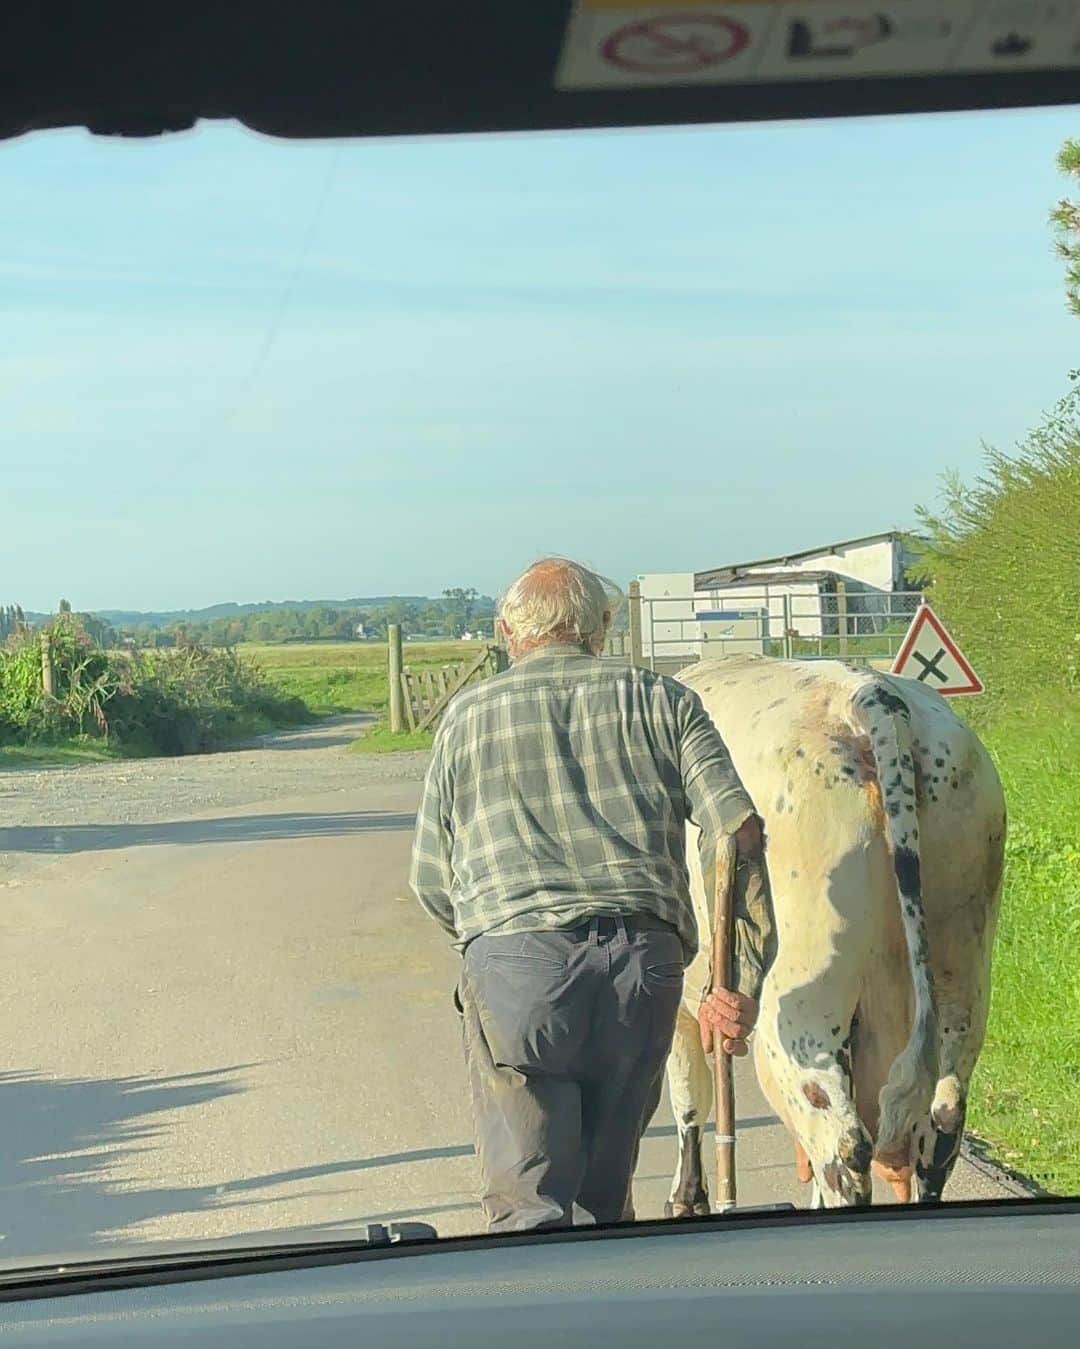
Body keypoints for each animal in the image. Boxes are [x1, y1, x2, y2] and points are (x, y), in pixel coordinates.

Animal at [660, 652, 1008, 1214]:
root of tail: (872, 695)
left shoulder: (678, 1000)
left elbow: (689, 1096)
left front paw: (687, 1199)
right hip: (963, 976)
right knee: (942, 1124)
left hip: (802, 1010)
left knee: (841, 1142)